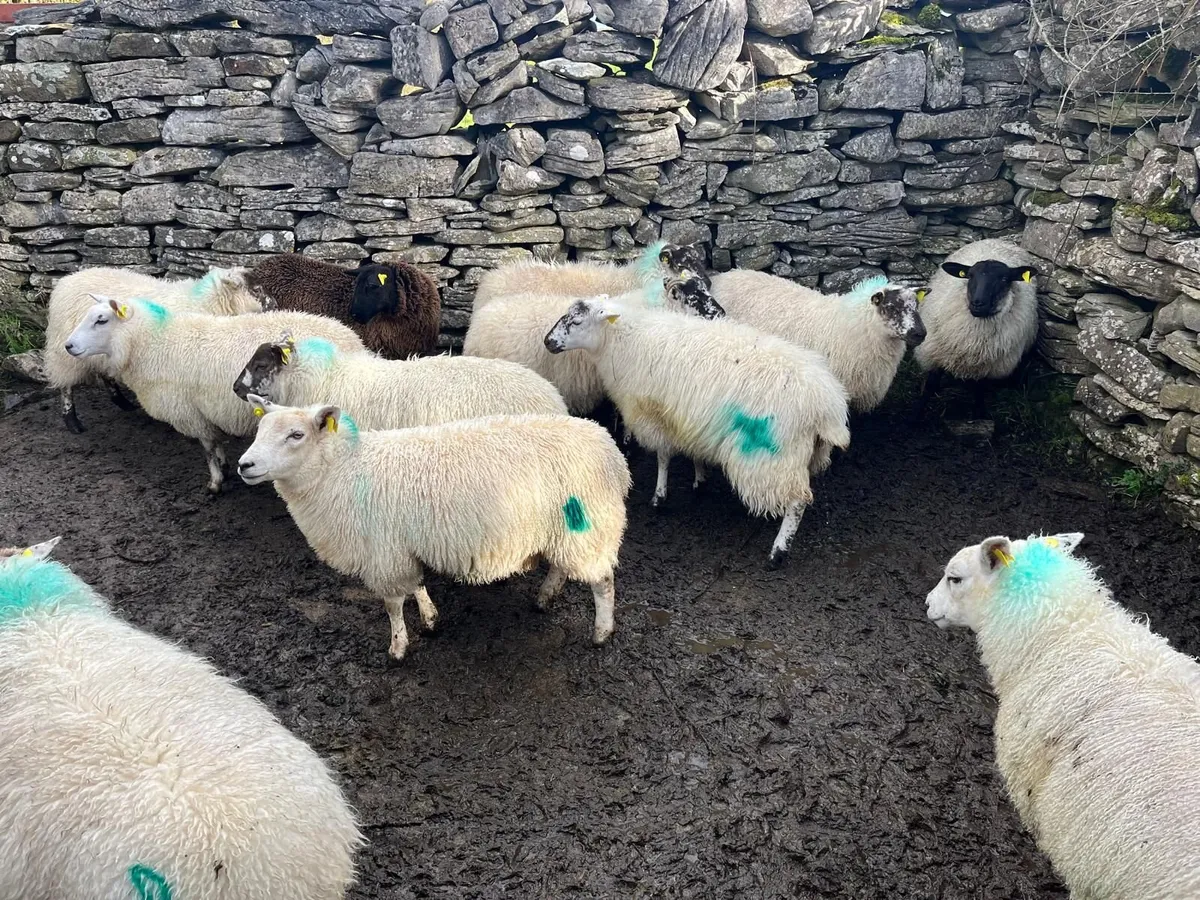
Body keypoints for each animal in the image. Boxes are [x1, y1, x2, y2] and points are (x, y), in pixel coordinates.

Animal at [44, 266, 263, 434]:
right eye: (254, 288)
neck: (208, 303)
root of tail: (66, 279)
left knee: (105, 374)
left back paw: (123, 402)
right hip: (65, 353)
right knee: (66, 385)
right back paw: (72, 421)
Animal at [63, 297, 365, 493]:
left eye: (101, 320)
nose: (68, 346)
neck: (149, 342)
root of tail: (354, 340)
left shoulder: (189, 413)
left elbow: (207, 448)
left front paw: (215, 483)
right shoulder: (205, 411)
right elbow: (216, 444)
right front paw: (225, 466)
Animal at [237, 397, 631, 661]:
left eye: (296, 435)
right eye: (259, 430)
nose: (244, 465)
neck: (345, 471)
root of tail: (611, 452)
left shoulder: (384, 551)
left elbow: (392, 604)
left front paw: (398, 647)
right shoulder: (402, 544)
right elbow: (417, 585)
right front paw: (429, 618)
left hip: (591, 525)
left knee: (602, 582)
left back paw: (601, 633)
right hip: (567, 530)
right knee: (563, 567)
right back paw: (545, 598)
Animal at [543, 296, 850, 567]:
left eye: (577, 321)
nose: (547, 341)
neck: (622, 340)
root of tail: (827, 405)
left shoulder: (654, 415)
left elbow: (663, 457)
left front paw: (659, 497)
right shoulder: (689, 420)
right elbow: (693, 452)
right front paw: (699, 478)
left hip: (774, 455)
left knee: (799, 501)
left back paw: (778, 552)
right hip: (805, 453)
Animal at [913, 238, 1039, 418]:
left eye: (1004, 279)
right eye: (970, 276)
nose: (978, 303)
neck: (973, 339)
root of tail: (998, 240)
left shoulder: (986, 365)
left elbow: (980, 389)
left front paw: (979, 413)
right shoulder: (934, 354)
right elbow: (930, 386)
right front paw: (917, 413)